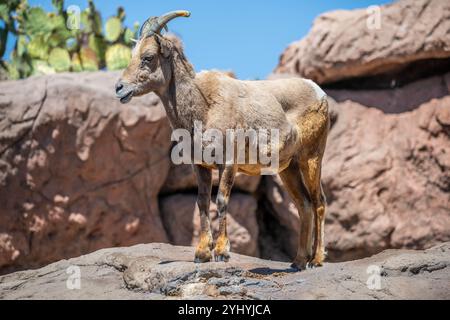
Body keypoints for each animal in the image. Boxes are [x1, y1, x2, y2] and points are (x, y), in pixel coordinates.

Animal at [114, 10, 328, 270]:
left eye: (148, 57)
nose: (119, 88)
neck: (204, 108)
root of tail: (319, 93)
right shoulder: (201, 167)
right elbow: (203, 202)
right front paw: (201, 254)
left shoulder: (228, 165)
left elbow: (222, 201)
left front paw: (221, 252)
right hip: (288, 169)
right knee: (304, 205)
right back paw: (298, 262)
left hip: (311, 158)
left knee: (318, 202)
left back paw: (316, 260)